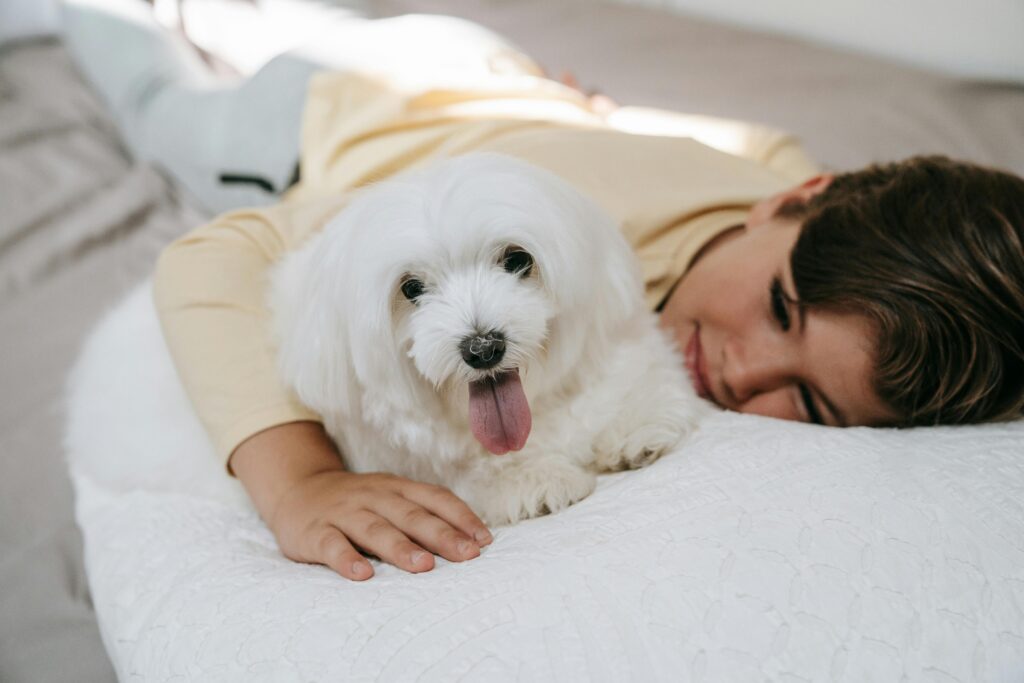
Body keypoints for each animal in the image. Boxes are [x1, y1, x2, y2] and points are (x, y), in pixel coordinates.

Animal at [66, 152, 712, 528]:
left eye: (516, 259)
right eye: (411, 288)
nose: (482, 348)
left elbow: (641, 383)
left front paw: (635, 426)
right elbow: (472, 479)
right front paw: (534, 481)